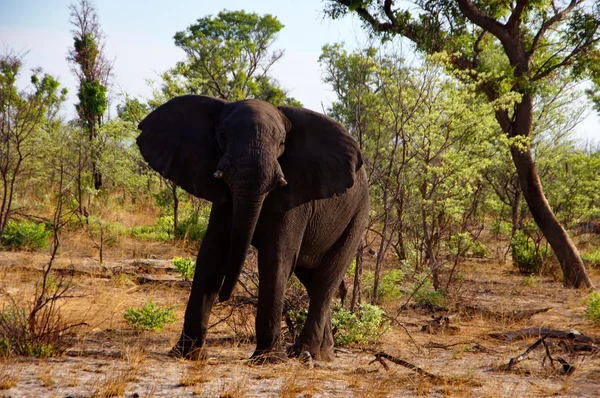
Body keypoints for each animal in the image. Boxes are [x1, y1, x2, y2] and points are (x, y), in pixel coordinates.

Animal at [137, 95, 368, 362]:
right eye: (223, 136)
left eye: (282, 144)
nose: (224, 297)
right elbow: (211, 255)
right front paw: (187, 354)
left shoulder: (296, 198)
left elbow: (275, 259)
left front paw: (268, 359)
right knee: (311, 281)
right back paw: (323, 355)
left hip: (358, 216)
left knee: (325, 281)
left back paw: (304, 354)